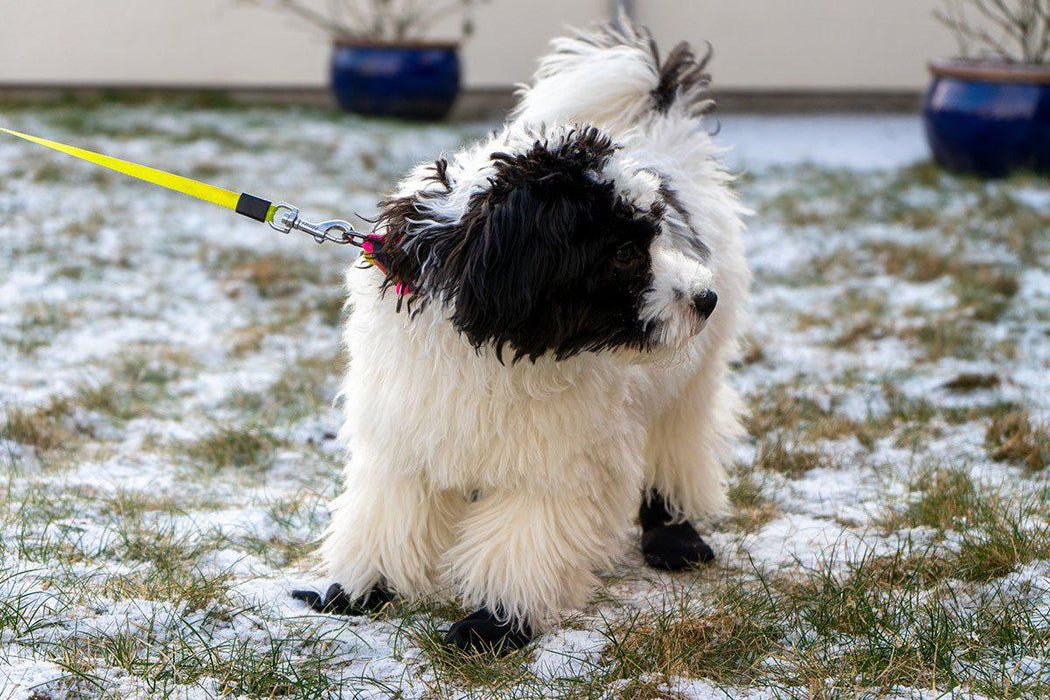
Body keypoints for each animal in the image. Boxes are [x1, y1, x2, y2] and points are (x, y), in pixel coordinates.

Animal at [296, 15, 751, 659]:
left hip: (691, 381)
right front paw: (361, 590)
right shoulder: (405, 437)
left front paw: (494, 624)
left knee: (679, 445)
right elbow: (390, 516)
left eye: (654, 237)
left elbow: (523, 540)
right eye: (623, 252)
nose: (704, 299)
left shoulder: (554, 462)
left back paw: (675, 537)